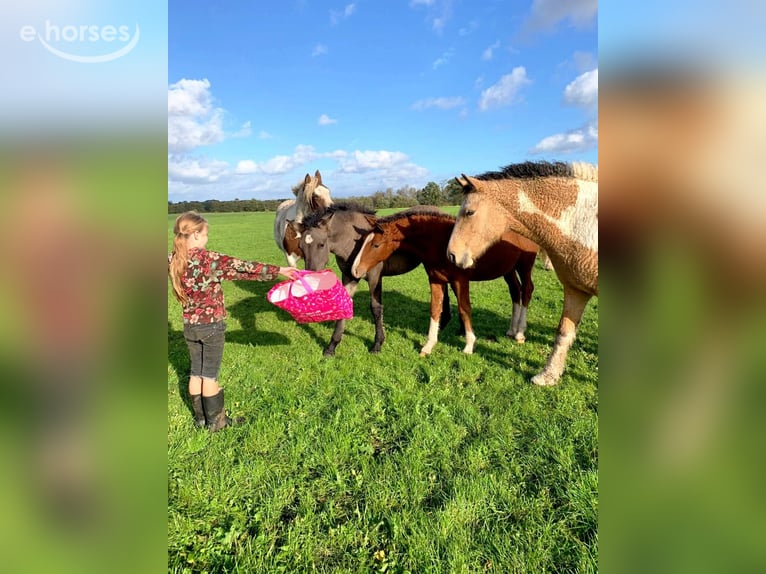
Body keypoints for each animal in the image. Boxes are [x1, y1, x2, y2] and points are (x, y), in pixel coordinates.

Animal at [294, 202, 452, 356]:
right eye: (301, 247)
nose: (310, 277)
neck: (353, 242)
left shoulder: (375, 277)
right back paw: (443, 324)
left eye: (321, 244)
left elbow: (376, 308)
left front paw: (377, 344)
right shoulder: (349, 277)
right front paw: (331, 346)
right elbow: (344, 304)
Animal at [351, 208, 539, 356]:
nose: (355, 270)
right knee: (515, 291)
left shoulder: (460, 280)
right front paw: (428, 345)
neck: (441, 241)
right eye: (363, 242)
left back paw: (520, 333)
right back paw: (512, 330)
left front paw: (469, 345)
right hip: (509, 269)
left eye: (376, 245)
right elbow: (435, 309)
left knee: (527, 290)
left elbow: (464, 309)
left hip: (525, 265)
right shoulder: (436, 280)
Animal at [447, 160, 598, 386]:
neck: (583, 223)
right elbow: (563, 333)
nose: (451, 255)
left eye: (469, 212)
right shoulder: (576, 290)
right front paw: (548, 376)